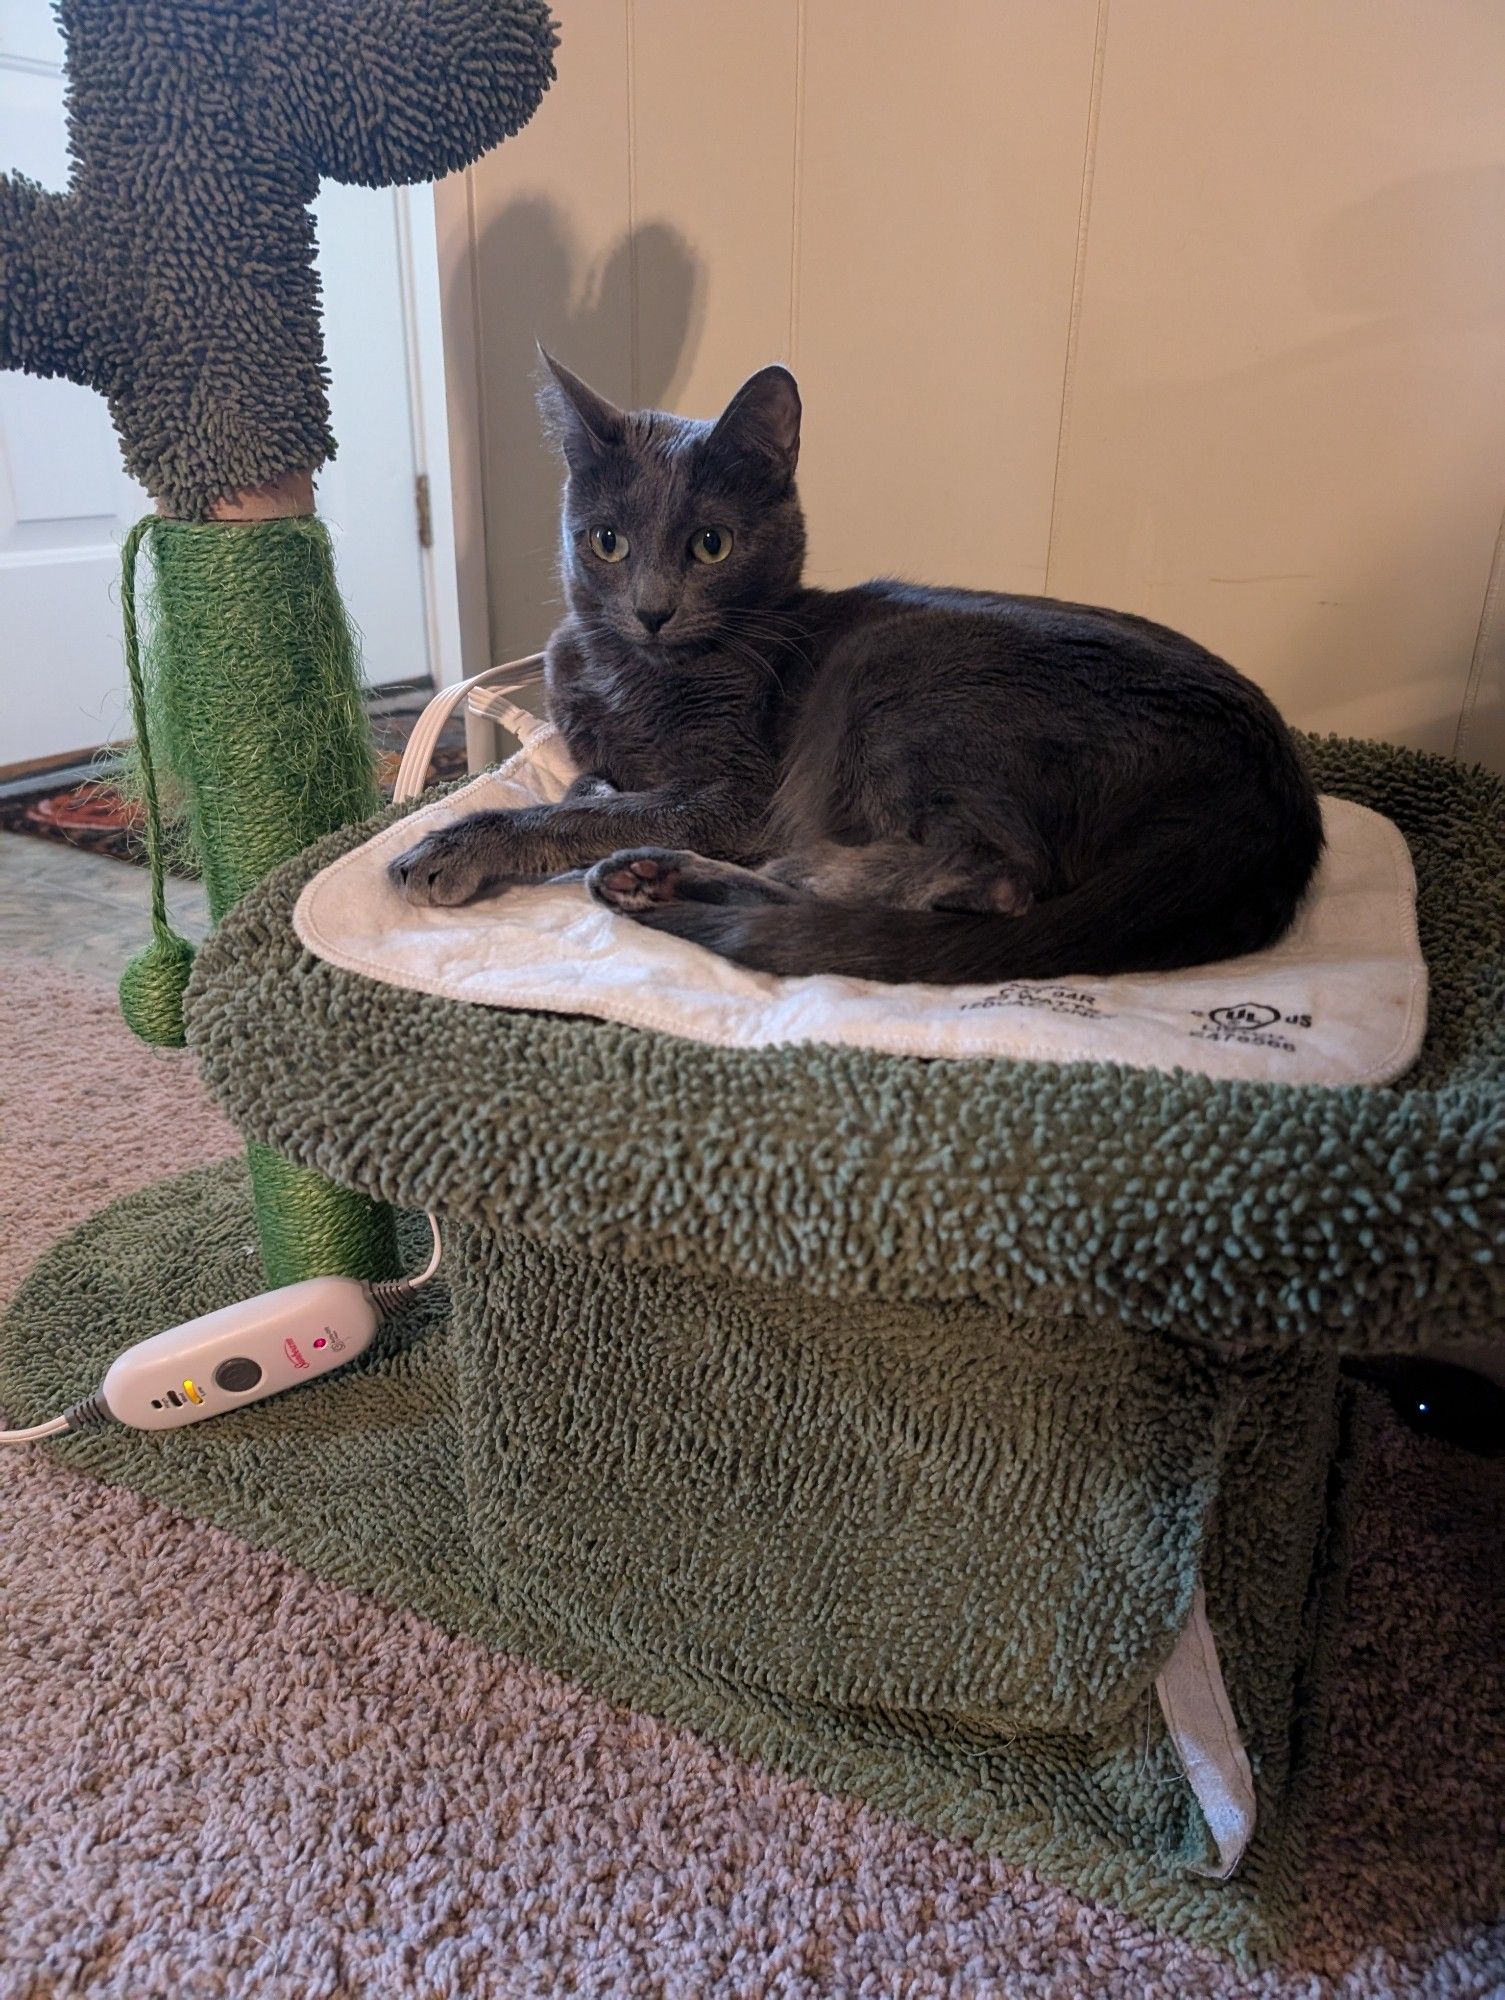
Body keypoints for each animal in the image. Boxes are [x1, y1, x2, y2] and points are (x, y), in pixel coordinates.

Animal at [388, 362, 1312, 992]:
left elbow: (573, 806)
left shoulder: (736, 790)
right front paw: (600, 786)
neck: (629, 671)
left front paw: (458, 843)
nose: (651, 608)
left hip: (894, 675)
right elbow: (591, 779)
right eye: (606, 542)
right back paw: (661, 876)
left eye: (711, 545)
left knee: (995, 875)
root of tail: (1273, 797)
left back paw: (697, 871)